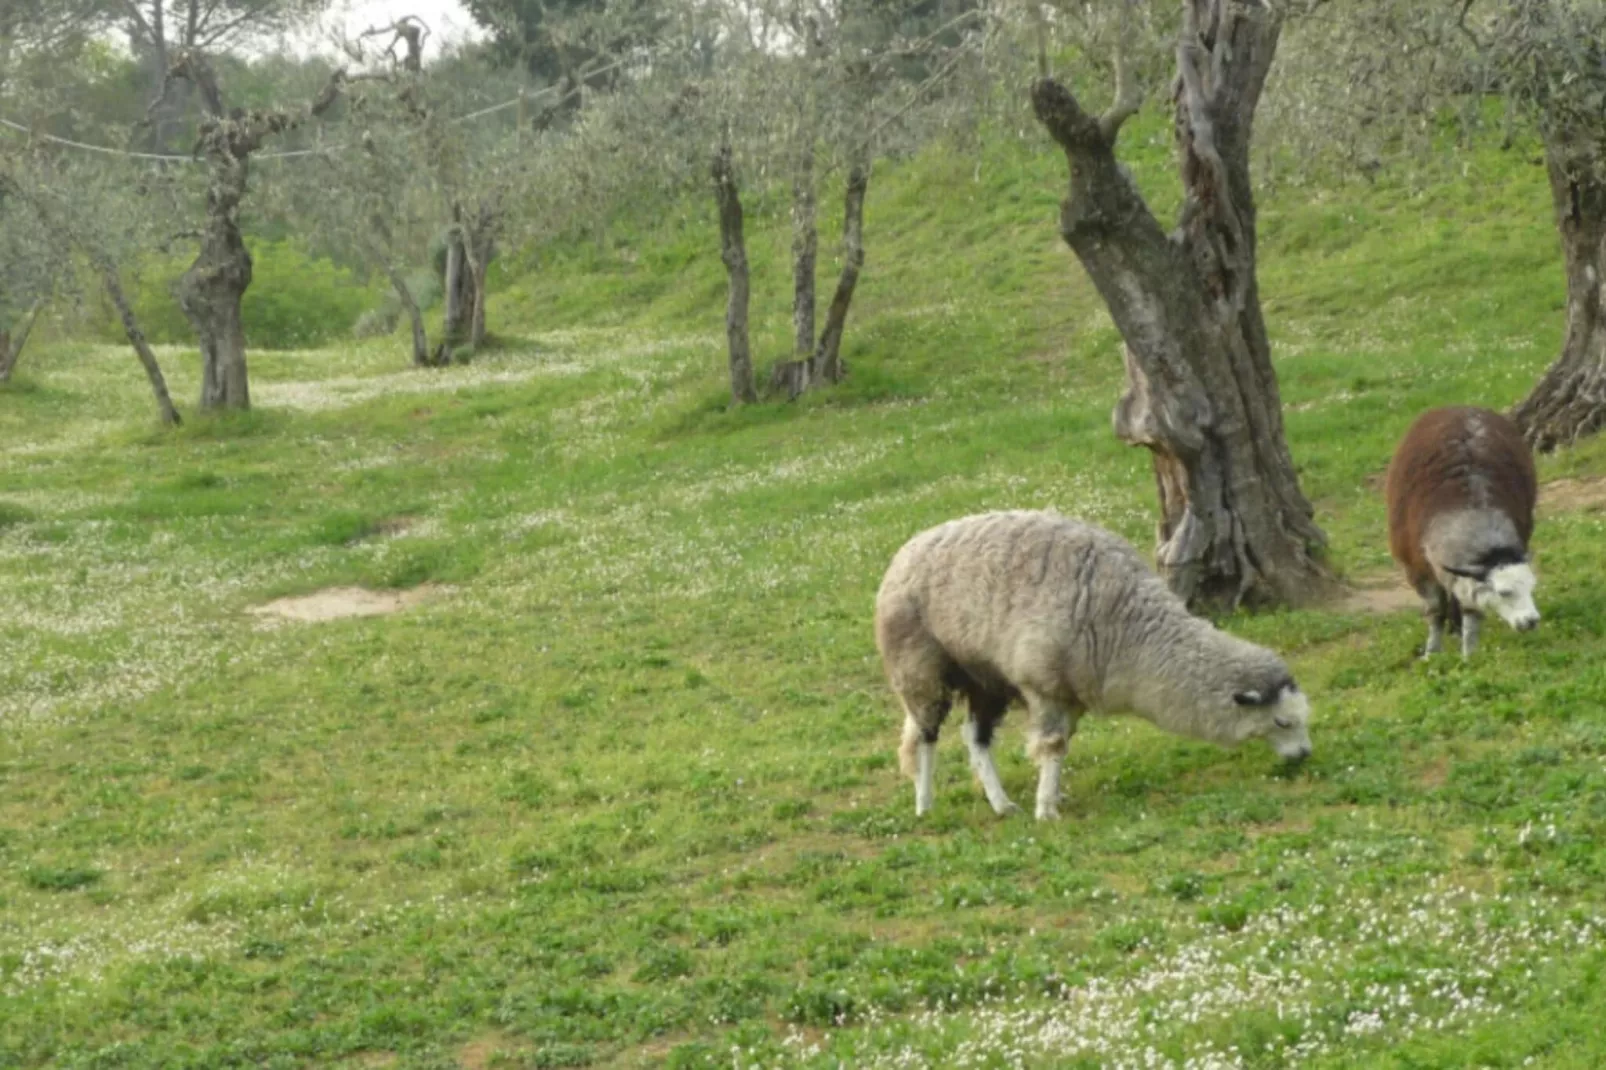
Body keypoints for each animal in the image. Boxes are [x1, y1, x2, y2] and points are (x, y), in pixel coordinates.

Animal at [873, 507, 1310, 816]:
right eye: (1281, 722)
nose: (1304, 755)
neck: (1126, 631)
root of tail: (903, 553)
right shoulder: (1044, 685)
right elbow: (1052, 745)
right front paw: (1046, 810)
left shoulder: (1071, 694)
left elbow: (1062, 746)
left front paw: (1052, 796)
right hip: (920, 668)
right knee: (927, 734)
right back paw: (925, 804)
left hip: (985, 677)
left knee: (974, 738)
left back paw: (1001, 804)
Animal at [1381, 404, 1541, 655]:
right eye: (1504, 592)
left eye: (1531, 587)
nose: (1531, 621)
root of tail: (1462, 407)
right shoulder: (1415, 569)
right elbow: (1435, 610)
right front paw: (1432, 652)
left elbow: (1471, 610)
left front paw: (1469, 654)